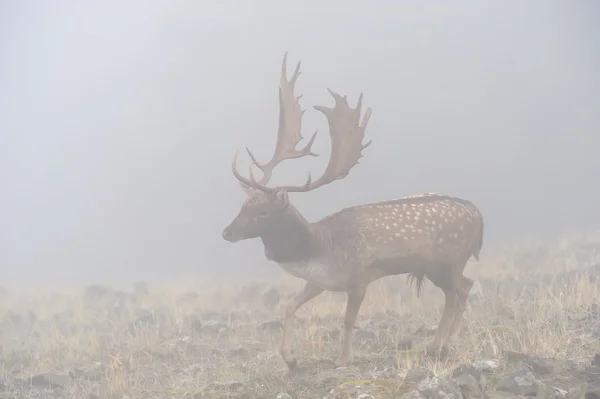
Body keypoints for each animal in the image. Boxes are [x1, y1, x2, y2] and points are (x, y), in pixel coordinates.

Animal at [223, 53, 486, 372]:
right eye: (243, 205)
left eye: (263, 212)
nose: (227, 232)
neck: (320, 248)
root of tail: (479, 216)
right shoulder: (319, 281)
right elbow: (289, 304)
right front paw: (290, 358)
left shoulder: (360, 276)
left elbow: (348, 319)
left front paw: (343, 358)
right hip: (444, 267)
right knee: (465, 287)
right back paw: (449, 340)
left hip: (447, 260)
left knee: (452, 294)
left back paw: (436, 345)